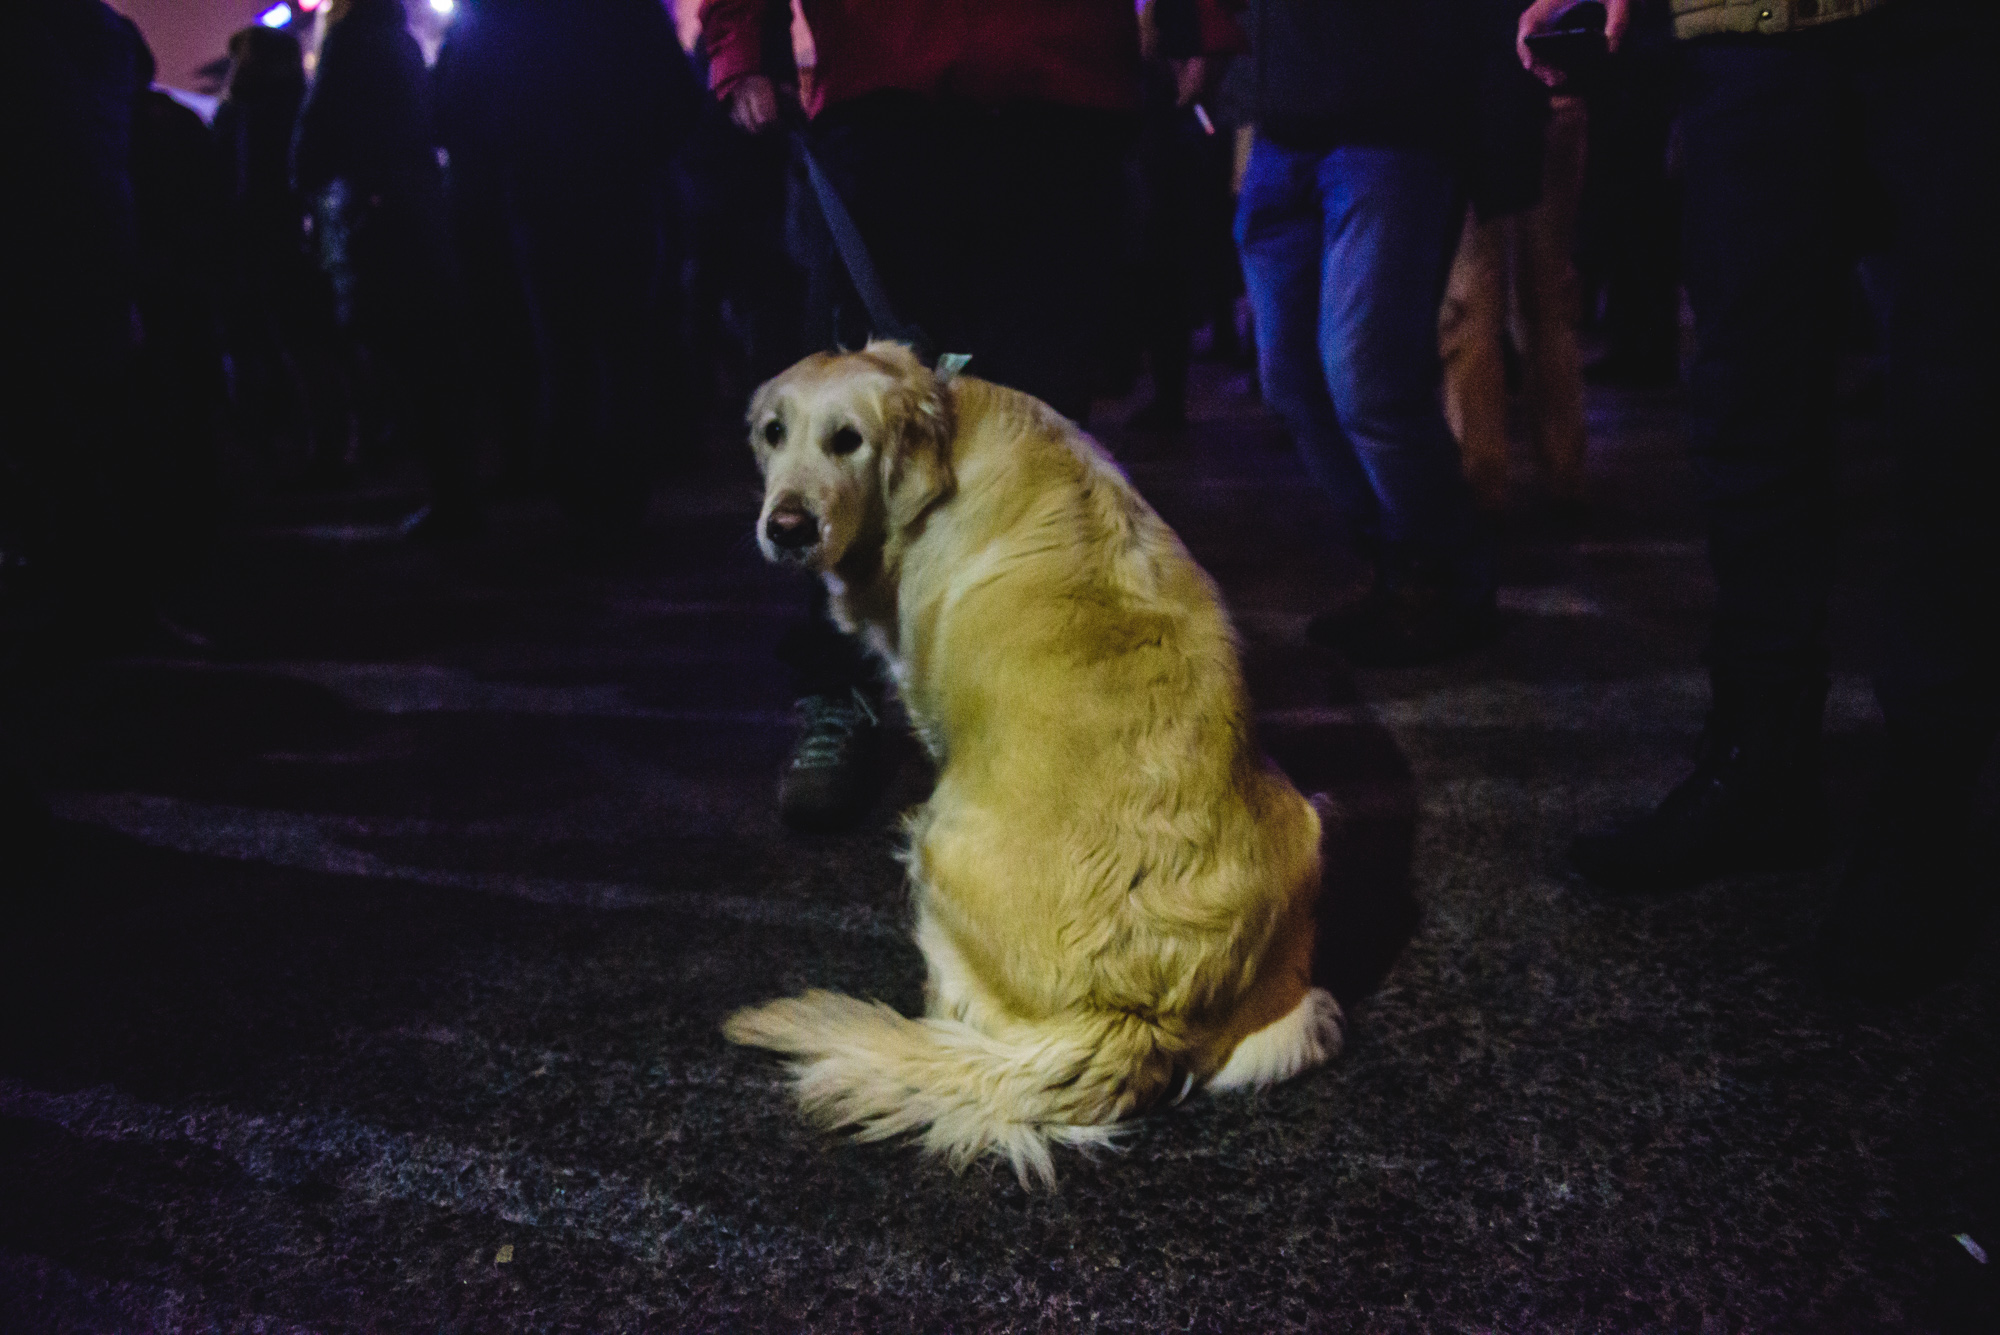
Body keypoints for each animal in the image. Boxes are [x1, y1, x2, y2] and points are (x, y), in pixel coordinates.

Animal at [724, 347, 1344, 1191]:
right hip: (1304, 898)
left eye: (847, 440)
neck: (946, 431)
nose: (786, 527)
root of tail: (1138, 1016)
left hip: (933, 842)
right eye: (772, 432)